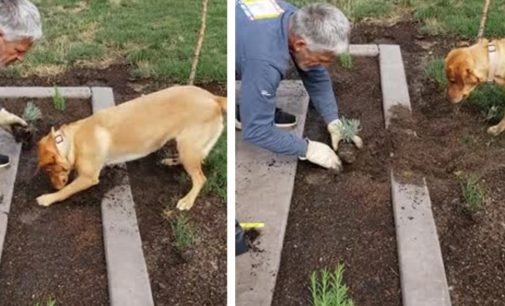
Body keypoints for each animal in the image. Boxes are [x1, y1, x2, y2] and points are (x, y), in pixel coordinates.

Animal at [38, 86, 227, 210]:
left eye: (48, 170)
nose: (54, 188)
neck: (72, 141)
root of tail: (214, 98)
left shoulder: (88, 178)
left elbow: (67, 190)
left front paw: (48, 198)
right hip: (187, 147)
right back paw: (172, 161)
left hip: (188, 147)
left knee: (200, 178)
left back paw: (188, 200)